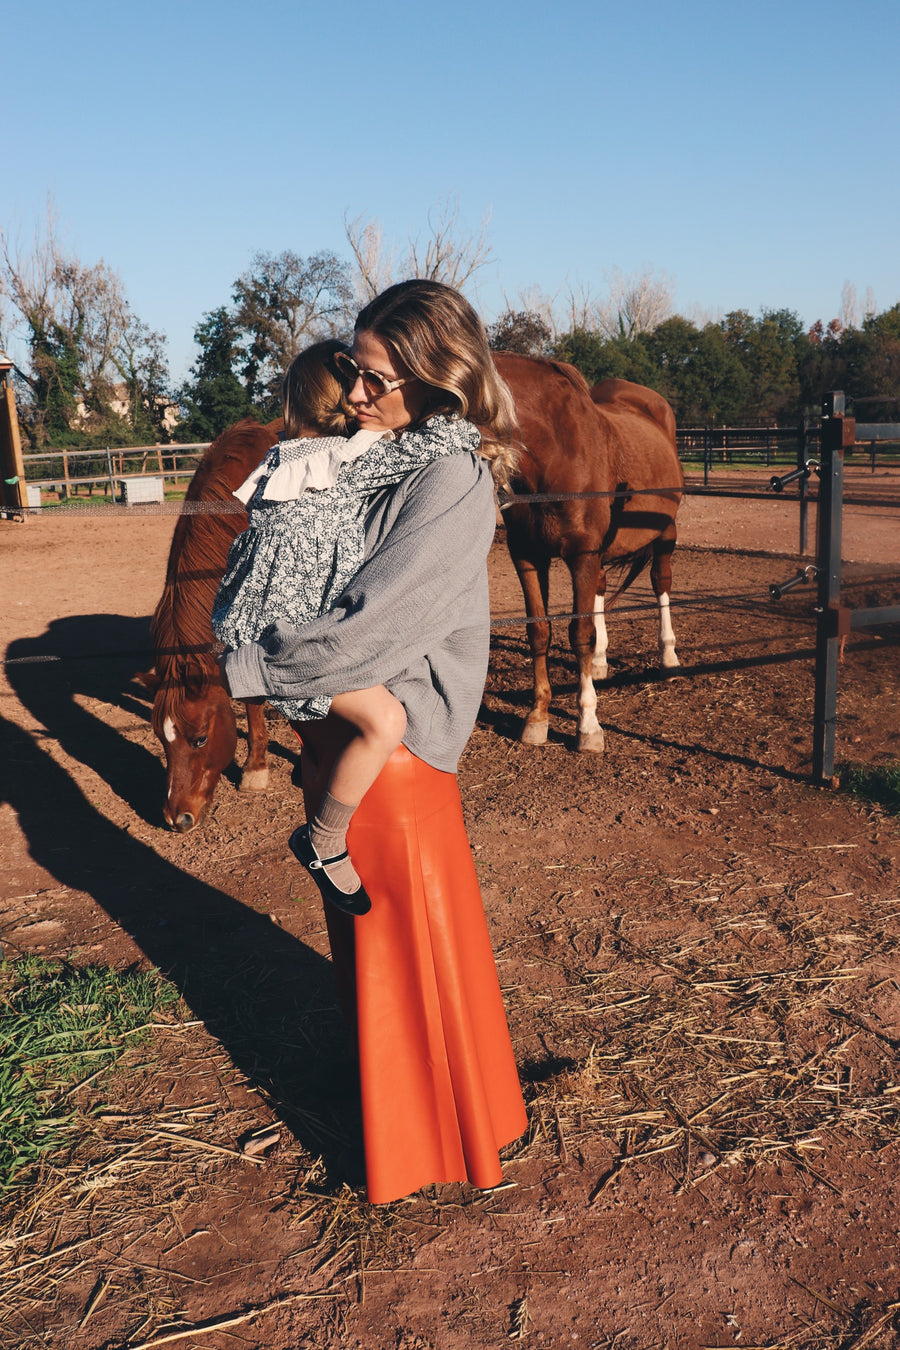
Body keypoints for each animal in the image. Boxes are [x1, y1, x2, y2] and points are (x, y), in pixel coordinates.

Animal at [496, 353, 680, 756]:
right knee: (600, 589)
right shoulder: (527, 556)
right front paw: (537, 718)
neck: (552, 453)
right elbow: (539, 631)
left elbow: (579, 633)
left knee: (660, 583)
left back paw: (669, 658)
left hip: (666, 532)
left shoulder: (582, 553)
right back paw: (598, 662)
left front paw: (588, 726)